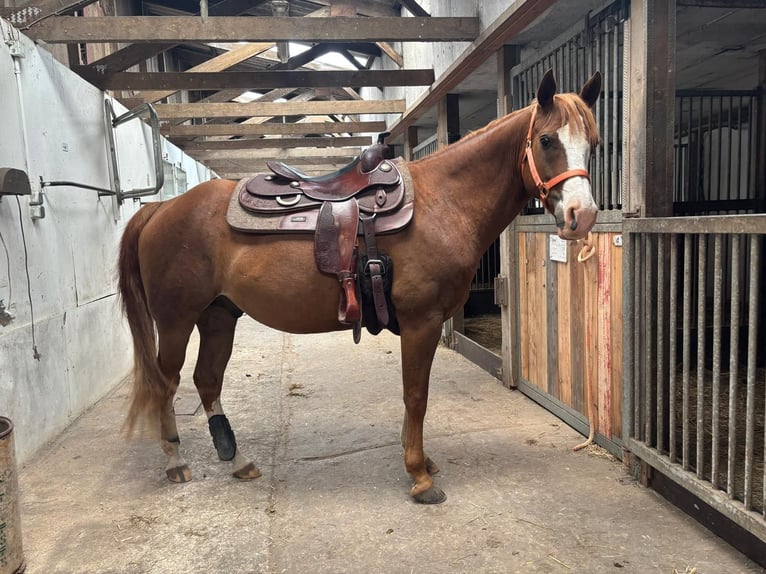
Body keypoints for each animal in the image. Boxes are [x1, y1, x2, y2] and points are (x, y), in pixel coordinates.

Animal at [118, 70, 602, 504]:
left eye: (593, 143)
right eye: (546, 140)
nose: (582, 216)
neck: (443, 203)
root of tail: (160, 209)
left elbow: (413, 397)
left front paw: (419, 461)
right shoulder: (422, 322)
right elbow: (416, 396)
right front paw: (419, 477)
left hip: (219, 315)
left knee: (207, 379)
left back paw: (236, 460)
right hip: (177, 321)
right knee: (166, 381)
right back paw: (175, 461)